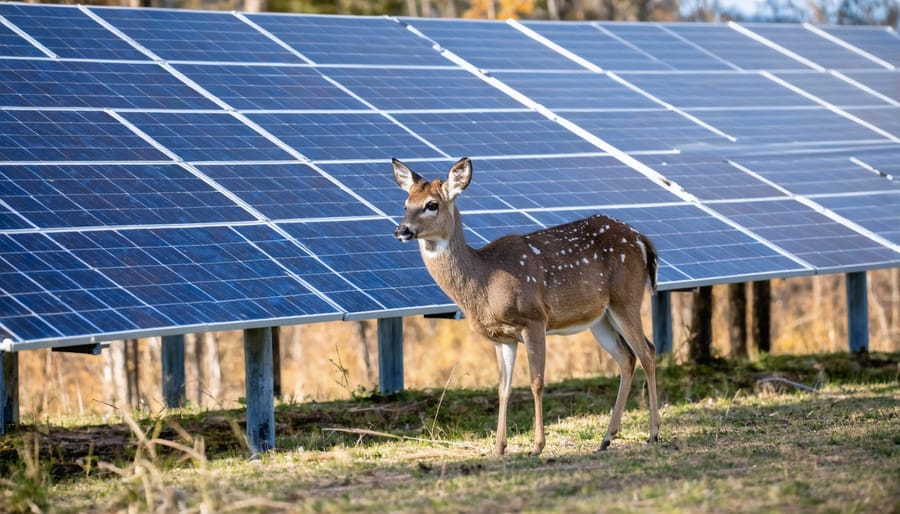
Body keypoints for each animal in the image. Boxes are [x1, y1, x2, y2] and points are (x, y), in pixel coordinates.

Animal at [392, 157, 661, 456]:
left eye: (431, 204)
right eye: (405, 204)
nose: (402, 230)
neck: (484, 280)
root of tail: (643, 240)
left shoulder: (534, 318)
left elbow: (536, 381)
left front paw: (537, 446)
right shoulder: (502, 337)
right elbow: (503, 387)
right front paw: (499, 447)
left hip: (626, 298)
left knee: (647, 352)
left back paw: (653, 433)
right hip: (601, 318)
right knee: (627, 357)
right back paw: (606, 438)